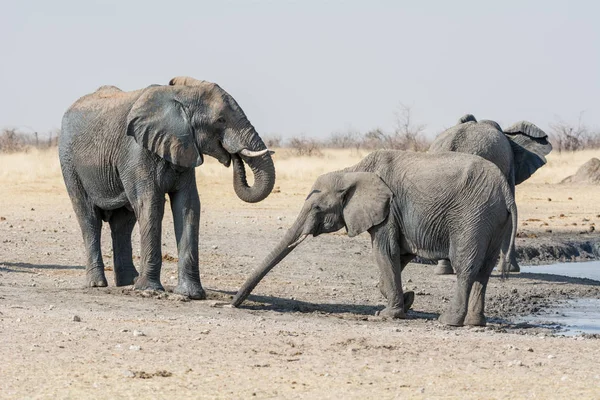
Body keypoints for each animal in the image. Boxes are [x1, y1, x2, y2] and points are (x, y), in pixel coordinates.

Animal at [59, 76, 276, 298]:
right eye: (220, 120)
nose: (233, 156)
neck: (180, 96)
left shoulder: (185, 148)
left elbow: (188, 206)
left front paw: (191, 294)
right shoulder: (137, 151)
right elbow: (151, 205)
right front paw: (149, 289)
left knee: (123, 223)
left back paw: (129, 282)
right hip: (69, 162)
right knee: (89, 218)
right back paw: (98, 284)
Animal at [233, 148, 516, 326]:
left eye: (317, 208)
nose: (233, 304)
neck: (352, 171)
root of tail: (505, 188)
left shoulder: (388, 210)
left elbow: (385, 253)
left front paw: (387, 314)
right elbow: (398, 257)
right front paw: (406, 300)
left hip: (472, 216)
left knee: (466, 267)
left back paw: (448, 321)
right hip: (492, 218)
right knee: (484, 270)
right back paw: (475, 323)